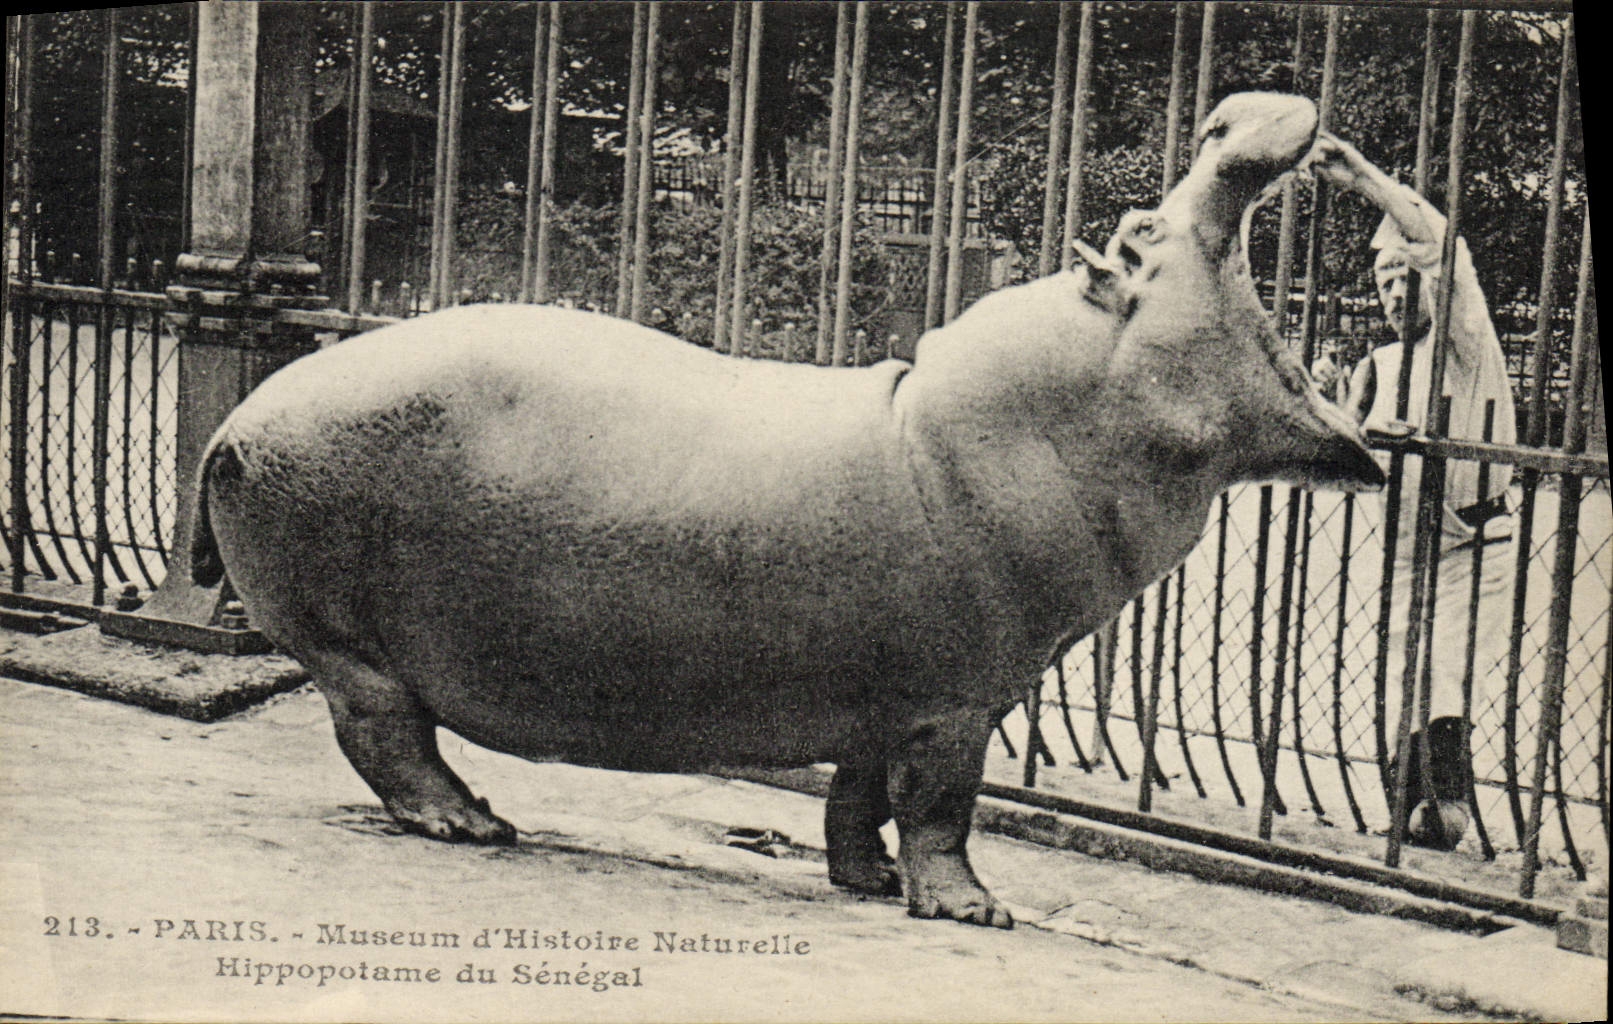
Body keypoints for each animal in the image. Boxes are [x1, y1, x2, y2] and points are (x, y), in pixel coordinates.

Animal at [192, 93, 1383, 928]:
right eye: (1143, 230)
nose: (1229, 111)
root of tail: (238, 415)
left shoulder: (883, 691)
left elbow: (857, 798)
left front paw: (866, 883)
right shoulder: (957, 699)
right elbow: (942, 806)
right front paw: (973, 910)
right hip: (351, 643)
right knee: (383, 732)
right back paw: (476, 823)